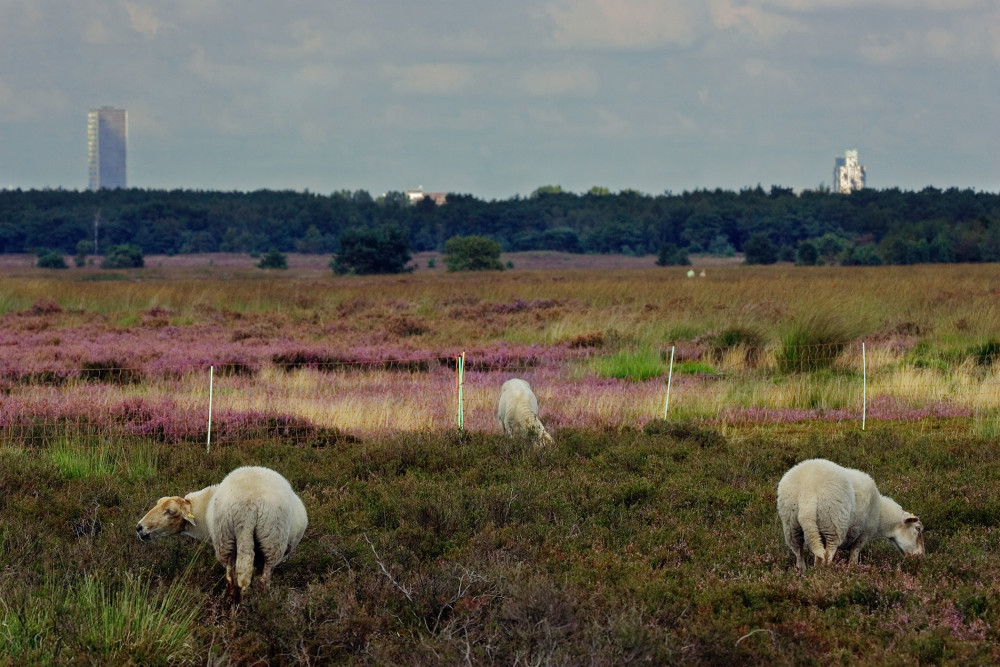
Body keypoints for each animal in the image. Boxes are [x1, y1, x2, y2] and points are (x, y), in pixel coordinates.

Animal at [137, 468, 306, 608]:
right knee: (258, 579)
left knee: (233, 579)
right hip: (270, 538)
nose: (139, 528)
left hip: (227, 537)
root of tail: (249, 506)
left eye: (171, 512)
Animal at [776, 460, 924, 576]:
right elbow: (854, 555)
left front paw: (816, 569)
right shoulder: (864, 534)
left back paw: (804, 573)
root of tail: (808, 490)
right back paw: (827, 574)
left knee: (799, 553)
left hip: (791, 524)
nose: (921, 557)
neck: (881, 515)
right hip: (833, 523)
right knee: (828, 555)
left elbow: (817, 558)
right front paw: (853, 570)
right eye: (918, 529)